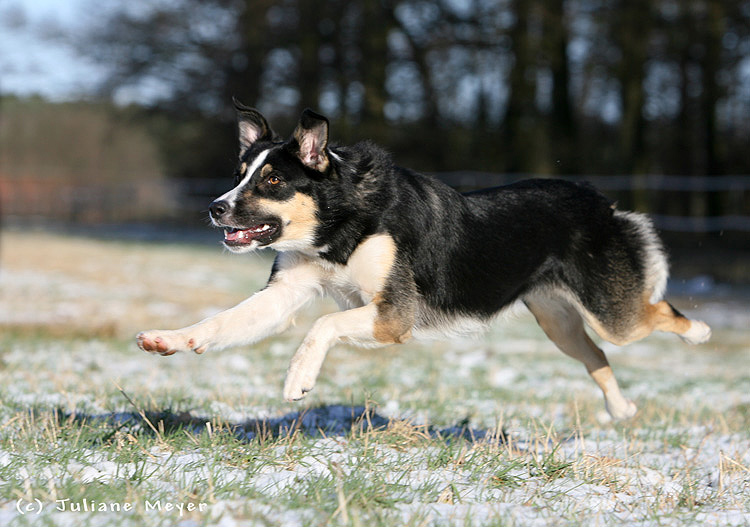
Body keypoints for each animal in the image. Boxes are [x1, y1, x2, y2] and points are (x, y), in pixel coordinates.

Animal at [137, 99, 716, 420]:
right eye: (239, 174)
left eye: (273, 180)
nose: (215, 208)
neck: (340, 223)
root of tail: (603, 203)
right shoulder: (286, 294)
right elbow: (220, 323)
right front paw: (169, 339)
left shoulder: (394, 314)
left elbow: (323, 324)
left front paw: (298, 378)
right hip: (559, 322)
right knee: (597, 357)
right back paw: (621, 409)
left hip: (612, 312)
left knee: (656, 314)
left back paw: (701, 333)